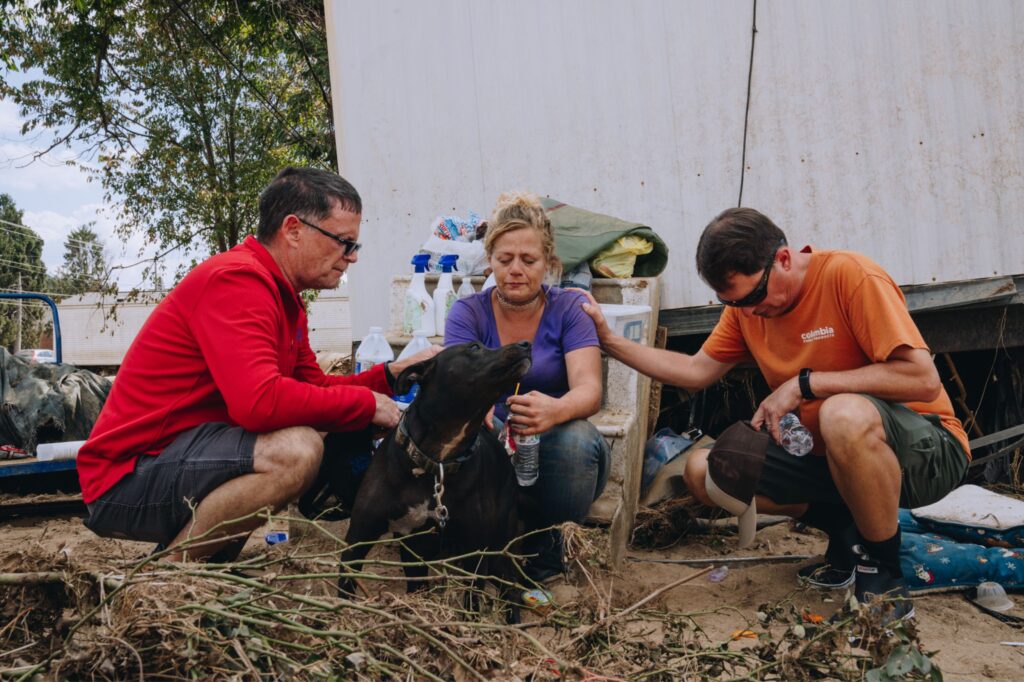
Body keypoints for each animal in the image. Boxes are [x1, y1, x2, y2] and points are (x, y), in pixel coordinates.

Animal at [337, 342, 532, 614]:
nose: (526, 343)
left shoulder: (476, 551)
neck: (436, 462)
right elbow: (344, 588)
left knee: (511, 589)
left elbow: (471, 604)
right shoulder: (359, 539)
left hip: (498, 544)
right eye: (474, 347)